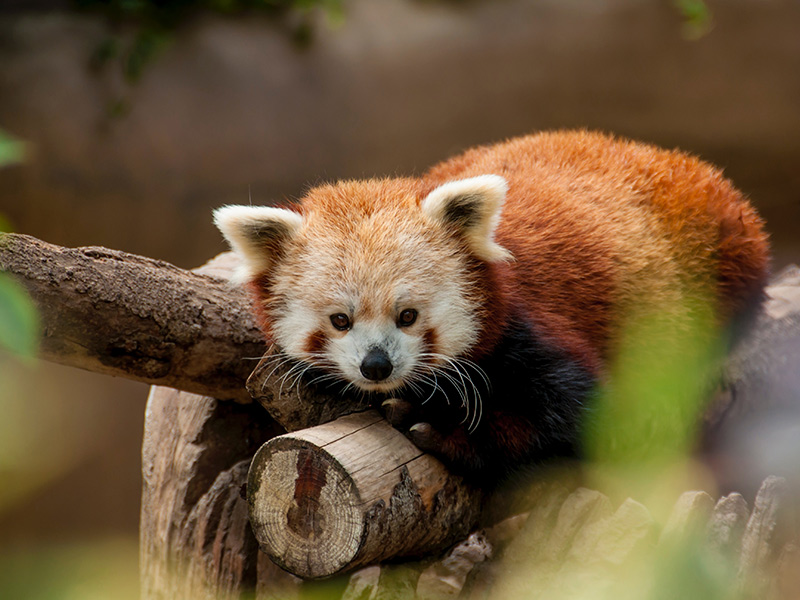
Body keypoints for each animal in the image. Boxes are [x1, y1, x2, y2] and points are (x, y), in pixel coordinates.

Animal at [212, 130, 768, 482]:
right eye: (340, 321)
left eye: (408, 315)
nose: (377, 366)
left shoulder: (530, 327)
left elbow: (581, 418)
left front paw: (442, 431)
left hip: (722, 253)